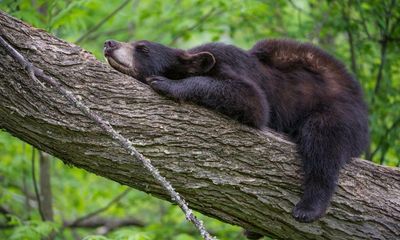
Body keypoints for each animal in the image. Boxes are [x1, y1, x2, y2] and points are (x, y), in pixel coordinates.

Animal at [103, 39, 368, 231]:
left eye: (143, 48)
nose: (110, 43)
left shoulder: (233, 70)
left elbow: (252, 100)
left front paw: (167, 84)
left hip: (338, 113)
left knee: (322, 143)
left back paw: (310, 206)